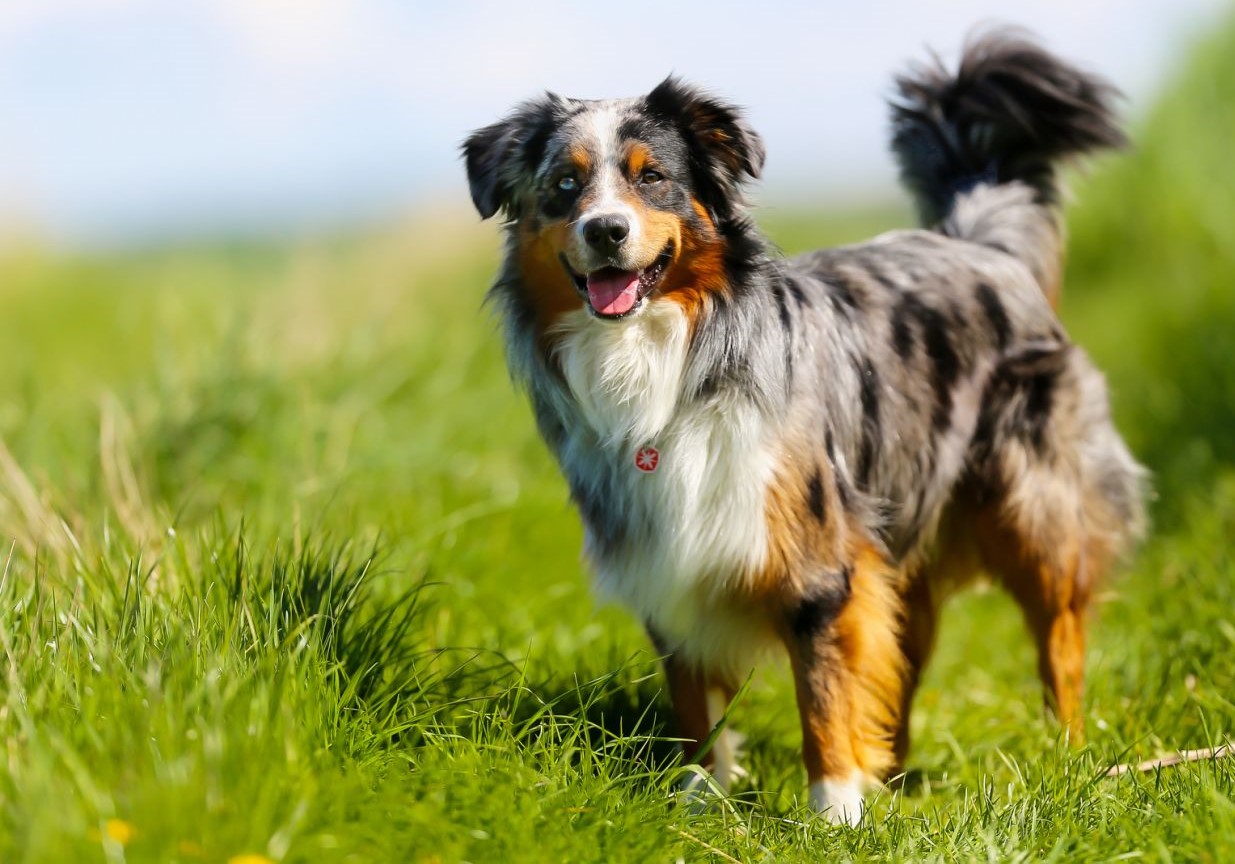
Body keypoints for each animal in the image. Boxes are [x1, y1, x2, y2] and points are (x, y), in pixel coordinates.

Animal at [464, 32, 1146, 824]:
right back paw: (894, 775)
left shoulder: (815, 558)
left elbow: (822, 691)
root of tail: (984, 247)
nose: (606, 230)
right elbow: (695, 703)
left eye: (652, 177)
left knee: (1057, 637)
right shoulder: (663, 556)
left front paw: (835, 812)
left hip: (1034, 512)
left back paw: (1065, 757)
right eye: (565, 185)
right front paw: (699, 802)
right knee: (901, 660)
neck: (668, 359)